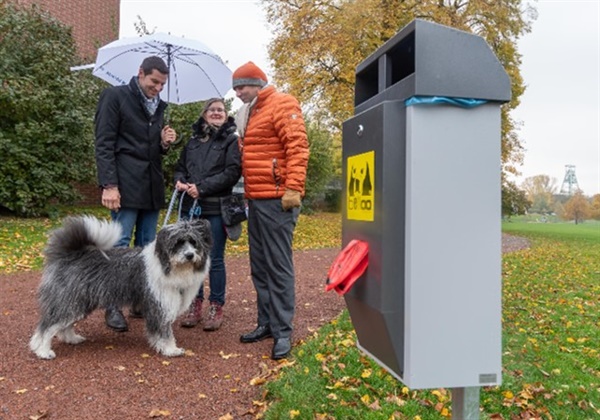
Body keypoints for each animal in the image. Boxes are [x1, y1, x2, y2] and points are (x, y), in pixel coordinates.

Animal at [31, 217, 213, 358]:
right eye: (178, 243)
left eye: (194, 242)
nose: (189, 255)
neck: (168, 265)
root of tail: (70, 254)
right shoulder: (159, 306)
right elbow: (164, 331)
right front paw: (170, 349)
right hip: (70, 301)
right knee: (47, 327)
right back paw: (42, 351)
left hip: (78, 303)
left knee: (63, 325)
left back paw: (71, 338)